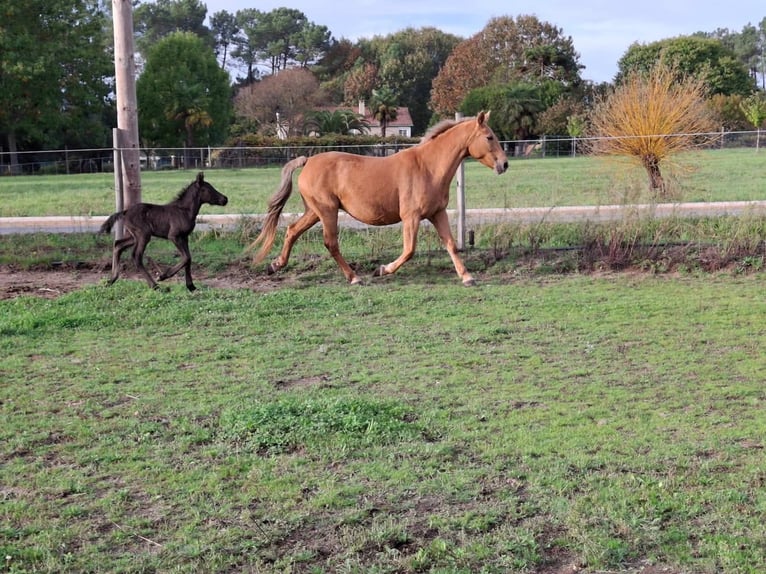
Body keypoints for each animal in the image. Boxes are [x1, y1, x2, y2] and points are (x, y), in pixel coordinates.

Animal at [248, 111, 508, 286]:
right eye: (489, 137)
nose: (504, 164)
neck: (428, 167)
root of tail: (308, 161)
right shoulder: (411, 217)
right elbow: (409, 250)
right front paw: (381, 270)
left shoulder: (437, 213)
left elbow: (452, 245)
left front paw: (467, 277)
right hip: (327, 211)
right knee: (330, 243)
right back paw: (354, 277)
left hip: (314, 212)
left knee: (292, 230)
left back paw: (275, 265)